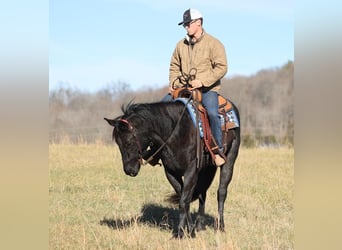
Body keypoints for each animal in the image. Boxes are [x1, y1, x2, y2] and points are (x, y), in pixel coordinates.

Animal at [104, 98, 240, 237]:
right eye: (118, 143)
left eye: (128, 142)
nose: (129, 170)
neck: (176, 132)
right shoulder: (171, 172)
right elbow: (184, 199)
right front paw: (190, 230)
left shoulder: (191, 171)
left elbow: (184, 201)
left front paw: (180, 232)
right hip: (207, 168)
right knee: (202, 193)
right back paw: (200, 225)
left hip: (229, 161)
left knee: (221, 192)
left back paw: (221, 227)